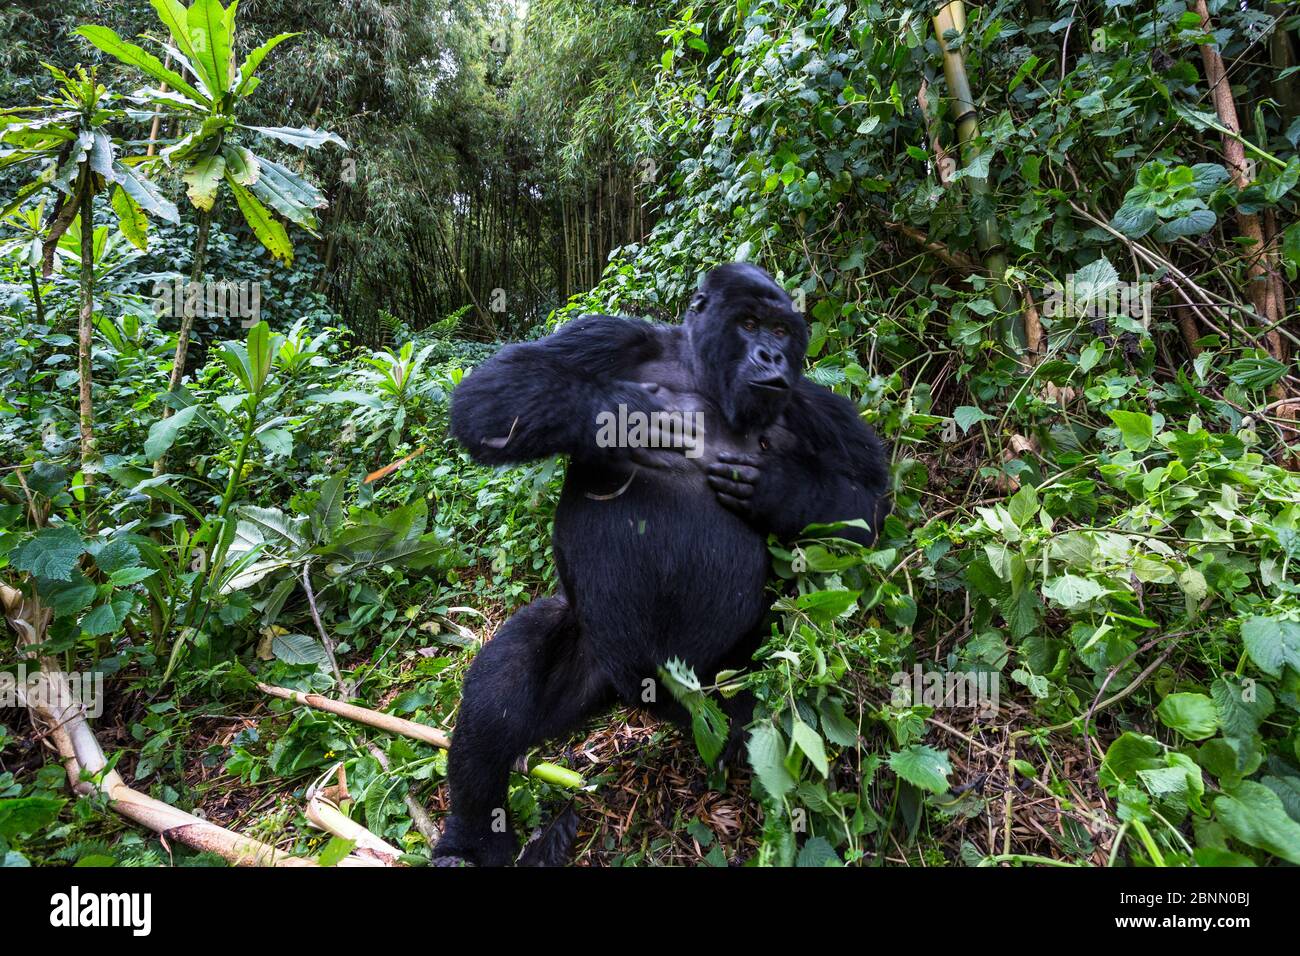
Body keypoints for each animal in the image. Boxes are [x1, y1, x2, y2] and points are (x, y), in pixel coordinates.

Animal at [436, 264, 894, 868]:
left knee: (764, 674)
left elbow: (869, 503)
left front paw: (782, 489)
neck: (704, 378)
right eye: (750, 323)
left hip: (711, 682)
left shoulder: (810, 403)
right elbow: (490, 394)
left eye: (781, 329)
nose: (772, 356)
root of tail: (649, 700)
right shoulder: (613, 337)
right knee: (500, 694)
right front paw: (624, 414)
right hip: (603, 655)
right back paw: (470, 842)